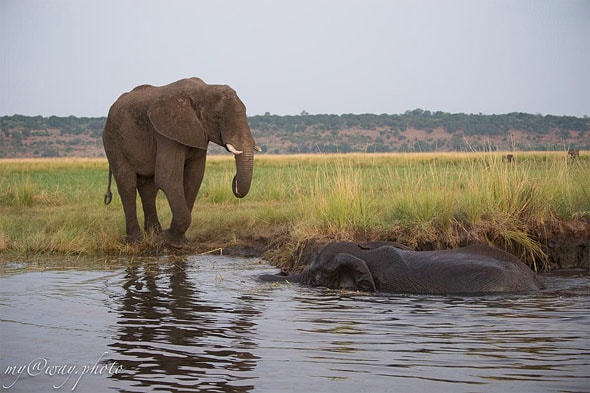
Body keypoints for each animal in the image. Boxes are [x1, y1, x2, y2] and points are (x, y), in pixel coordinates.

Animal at [103, 77, 260, 247]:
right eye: (217, 117)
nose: (235, 179)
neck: (203, 90)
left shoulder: (198, 134)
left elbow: (194, 178)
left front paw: (179, 241)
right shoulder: (167, 134)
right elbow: (168, 179)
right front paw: (169, 240)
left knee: (148, 188)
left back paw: (154, 235)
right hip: (112, 141)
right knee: (127, 185)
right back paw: (136, 241)